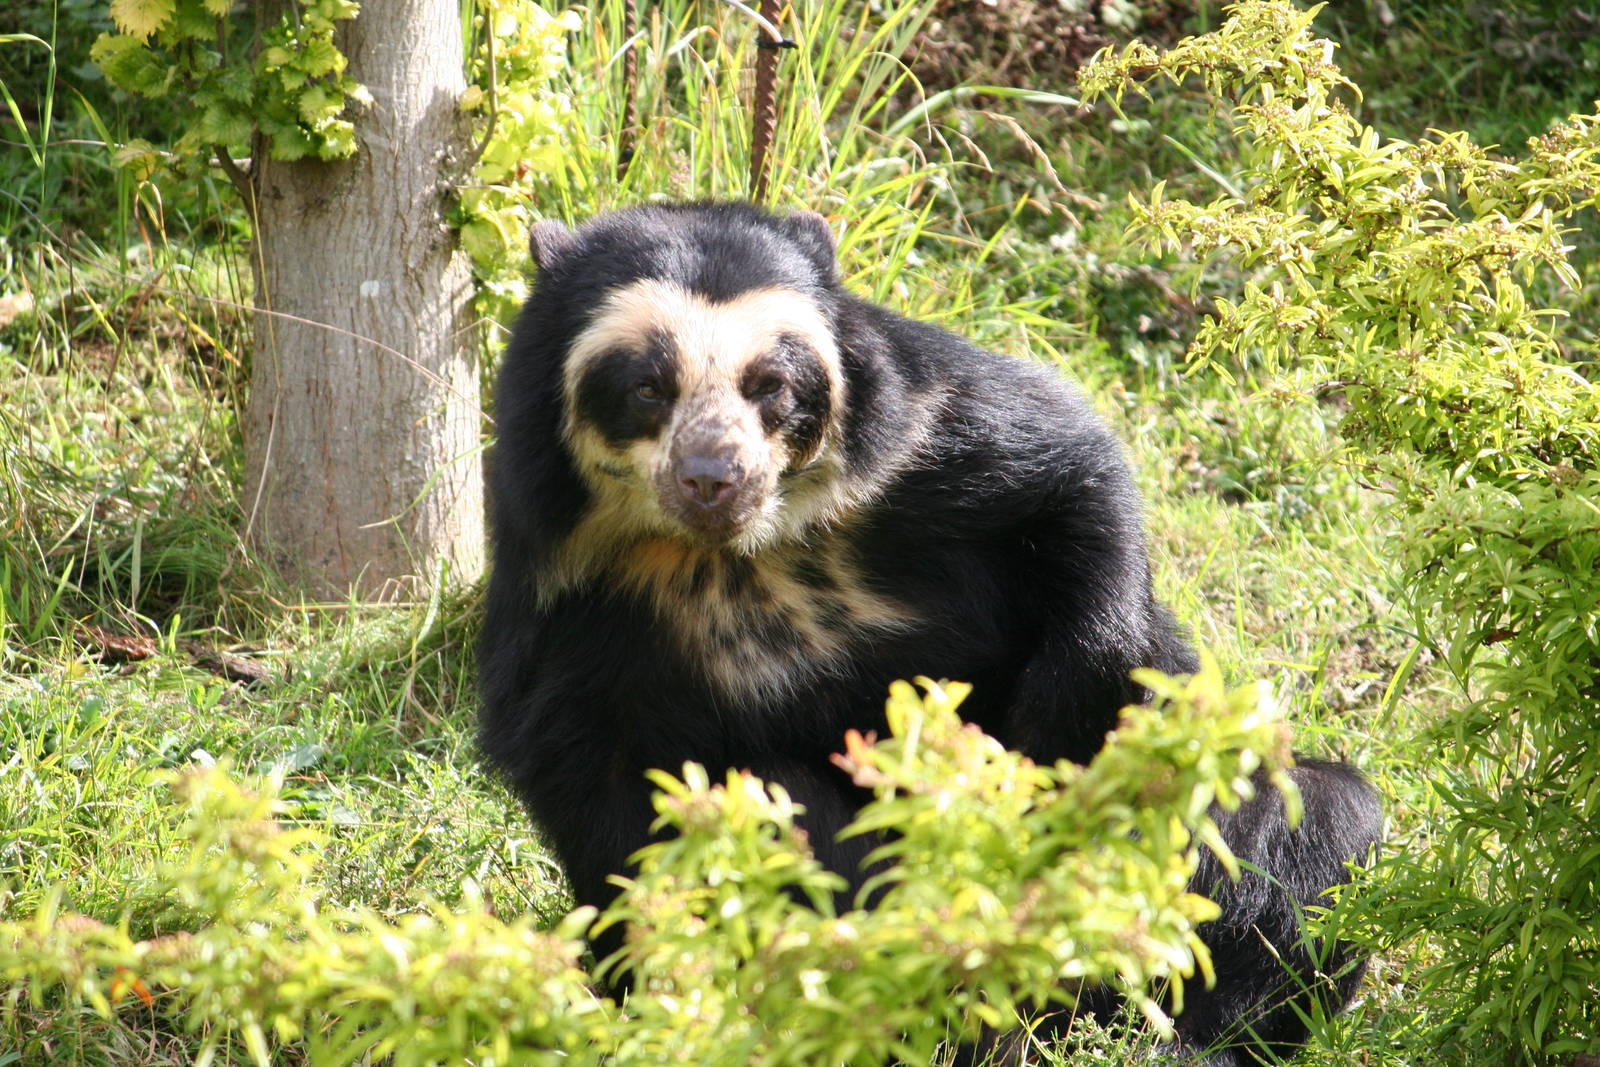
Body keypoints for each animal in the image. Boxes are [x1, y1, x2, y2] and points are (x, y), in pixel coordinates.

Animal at [478, 201, 1381, 1064]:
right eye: (646, 387)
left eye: (771, 384)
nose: (713, 478)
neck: (736, 554)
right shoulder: (567, 594)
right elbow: (596, 784)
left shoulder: (927, 441)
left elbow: (1073, 479)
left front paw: (1051, 740)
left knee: (1309, 835)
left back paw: (1186, 1037)